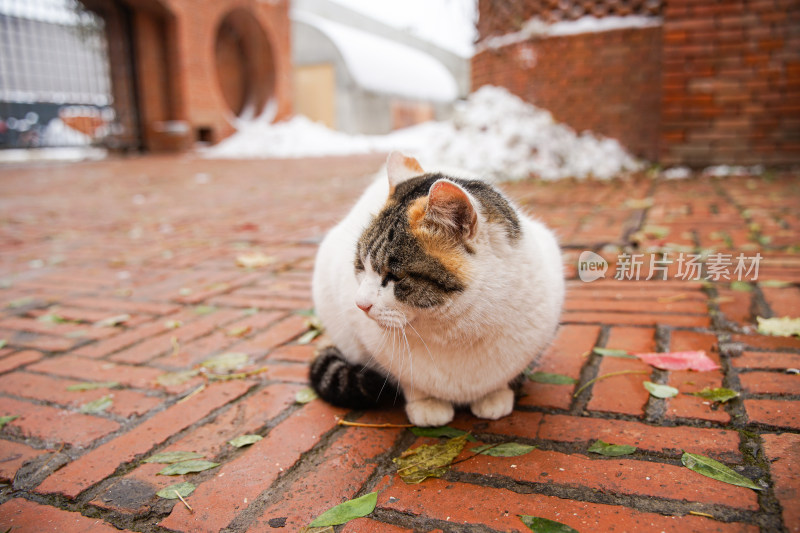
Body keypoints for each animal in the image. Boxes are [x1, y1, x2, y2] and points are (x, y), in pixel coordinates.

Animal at [306, 152, 564, 426]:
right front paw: (427, 403)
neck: (456, 331)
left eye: (394, 276)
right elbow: (409, 381)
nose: (360, 304)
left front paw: (494, 394)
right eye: (360, 265)